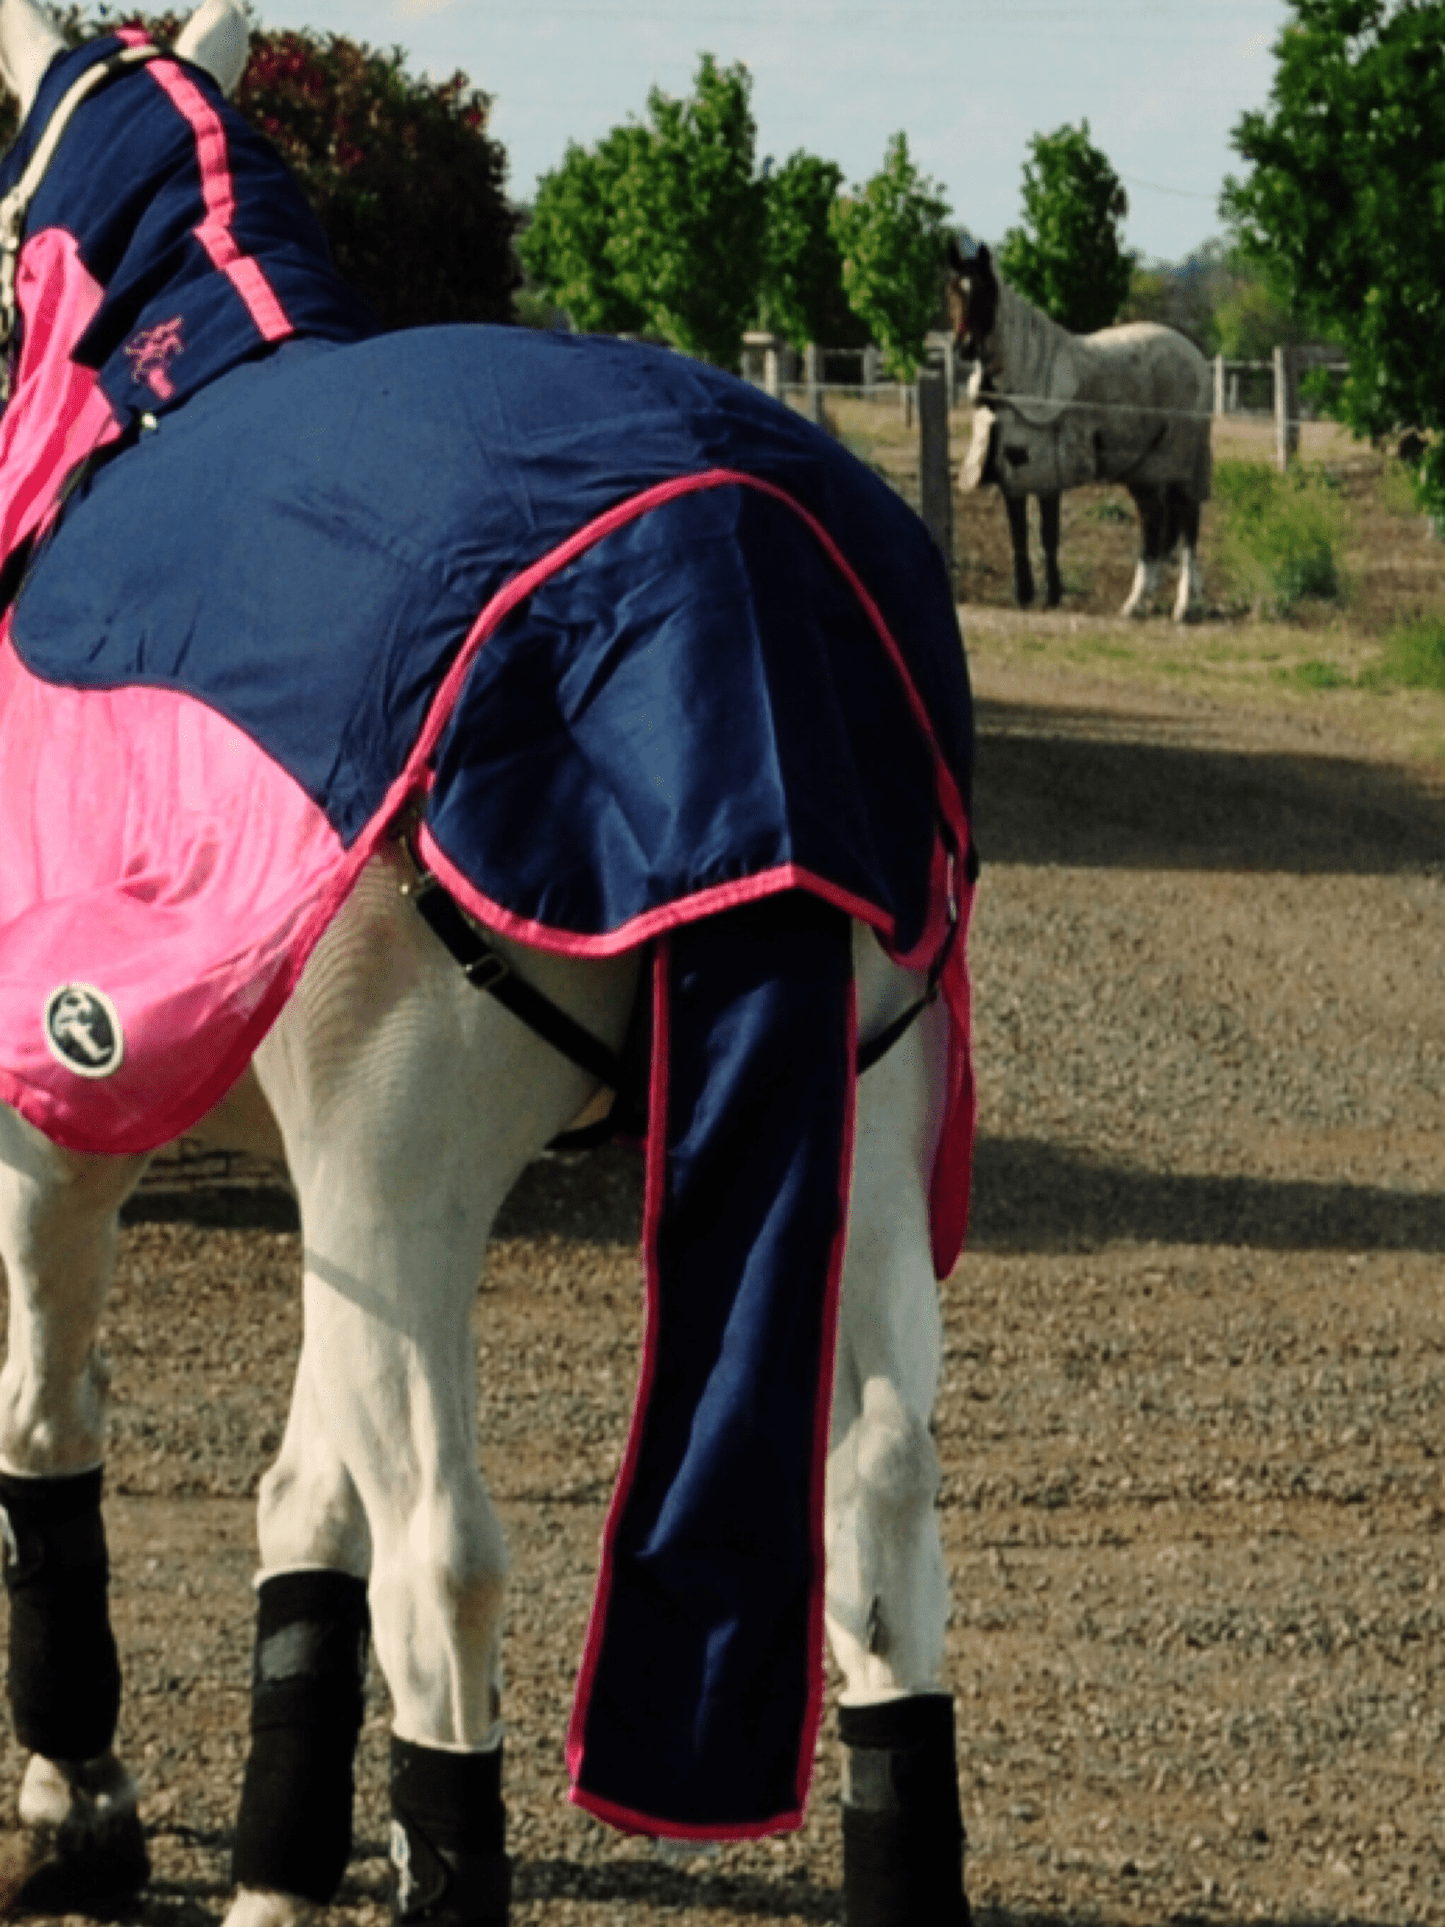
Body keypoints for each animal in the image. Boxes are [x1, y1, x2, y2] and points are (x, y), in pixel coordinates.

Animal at [0, 3, 986, 1927]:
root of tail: (734, 578)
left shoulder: (73, 1118)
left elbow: (45, 1422)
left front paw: (75, 1790)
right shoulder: (328, 1194)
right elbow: (301, 1502)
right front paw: (283, 1854)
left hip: (412, 1176)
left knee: (446, 1557)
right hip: (851, 1140)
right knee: (881, 1515)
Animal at [944, 236, 1217, 620]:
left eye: (983, 291)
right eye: (952, 290)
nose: (964, 348)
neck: (1026, 378)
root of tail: (1194, 357)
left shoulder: (1046, 474)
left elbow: (1048, 534)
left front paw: (1052, 595)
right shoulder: (1014, 475)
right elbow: (1018, 534)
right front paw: (1025, 594)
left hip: (1180, 466)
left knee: (1188, 525)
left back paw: (1181, 606)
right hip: (1144, 470)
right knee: (1153, 524)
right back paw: (1135, 603)